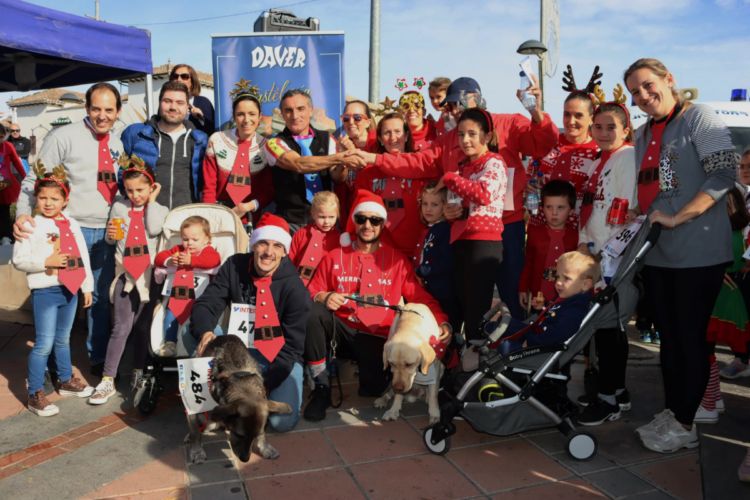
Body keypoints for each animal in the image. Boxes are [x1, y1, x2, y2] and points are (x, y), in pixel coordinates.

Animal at [187, 334, 292, 462]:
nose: (245, 460)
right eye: (239, 434)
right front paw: (196, 451)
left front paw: (266, 447)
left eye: (255, 436)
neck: (239, 376)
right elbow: (194, 431)